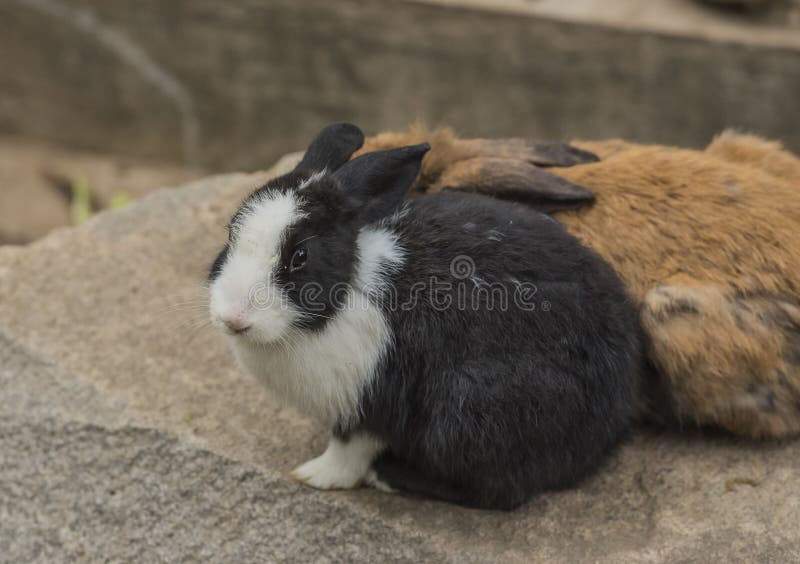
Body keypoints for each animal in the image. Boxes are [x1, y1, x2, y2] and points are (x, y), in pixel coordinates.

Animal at [208, 123, 642, 510]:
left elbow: (349, 449)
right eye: (230, 235)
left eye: (300, 256)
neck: (343, 295)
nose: (232, 318)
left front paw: (315, 475)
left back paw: (391, 476)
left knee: (502, 492)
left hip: (472, 409)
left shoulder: (370, 403)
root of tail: (616, 416)